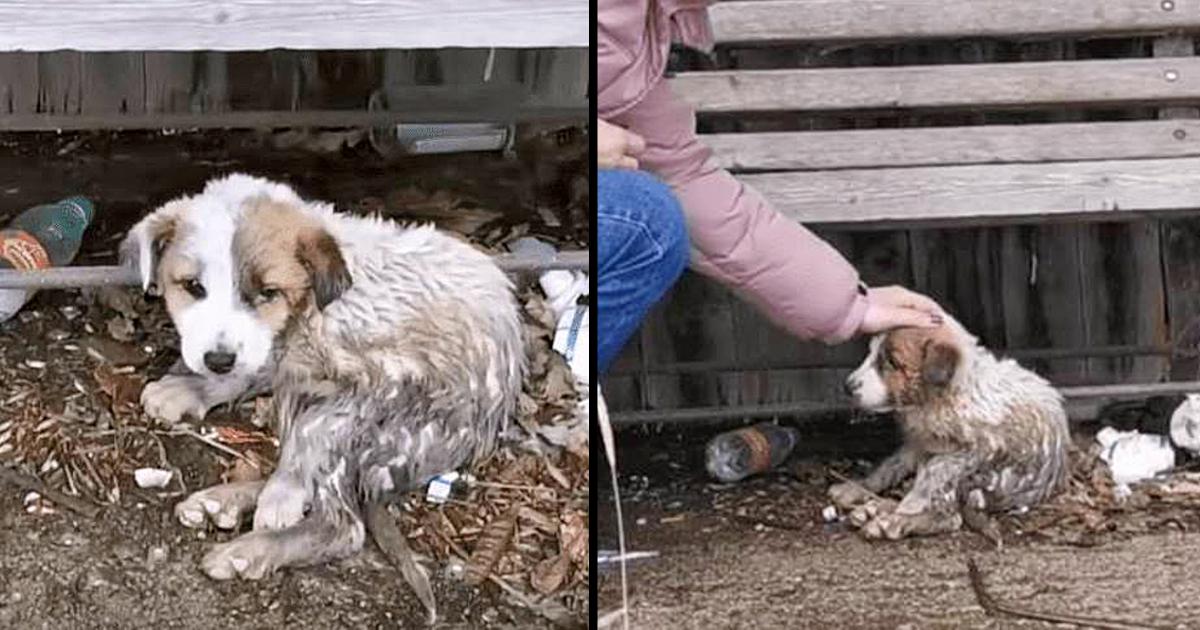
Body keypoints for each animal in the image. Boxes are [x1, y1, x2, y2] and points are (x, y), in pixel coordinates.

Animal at [120, 170, 525, 585]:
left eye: (268, 292)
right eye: (193, 286)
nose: (218, 360)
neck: (311, 306)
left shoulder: (385, 381)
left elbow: (312, 432)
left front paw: (283, 493)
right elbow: (261, 366)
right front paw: (191, 388)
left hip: (399, 429)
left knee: (343, 523)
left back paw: (250, 548)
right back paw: (223, 502)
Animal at [825, 314, 1070, 540]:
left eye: (892, 362)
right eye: (871, 352)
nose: (847, 387)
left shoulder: (978, 449)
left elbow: (932, 478)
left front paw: (899, 514)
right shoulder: (918, 443)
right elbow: (889, 466)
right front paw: (855, 487)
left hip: (975, 477)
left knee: (950, 516)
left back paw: (891, 521)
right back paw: (875, 509)